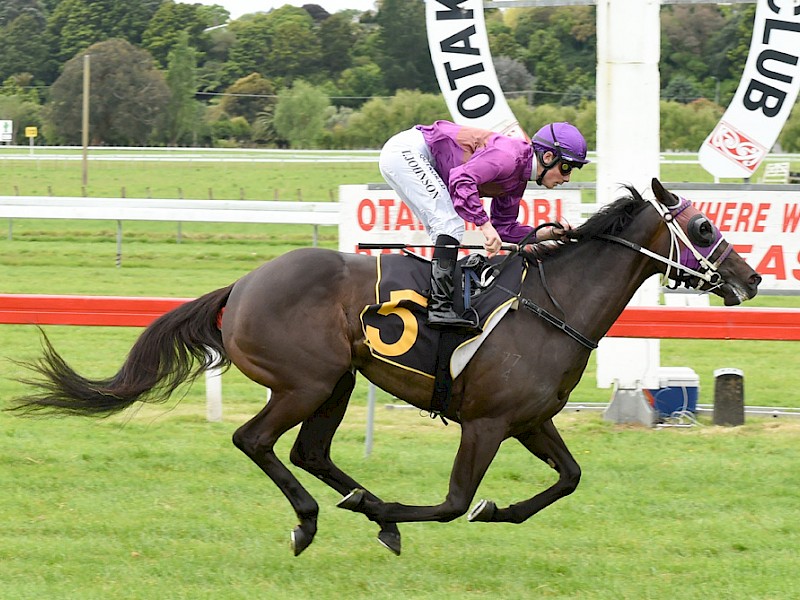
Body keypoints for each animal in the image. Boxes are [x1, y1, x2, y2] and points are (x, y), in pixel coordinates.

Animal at [14, 178, 764, 556]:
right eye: (702, 228)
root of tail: (242, 285)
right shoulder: (487, 422)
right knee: (255, 440)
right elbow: (455, 501)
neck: (553, 303)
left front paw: (493, 510)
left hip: (338, 381)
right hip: (307, 380)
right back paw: (316, 519)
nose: (752, 279)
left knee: (310, 451)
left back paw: (356, 509)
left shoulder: (530, 419)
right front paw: (408, 509)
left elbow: (569, 480)